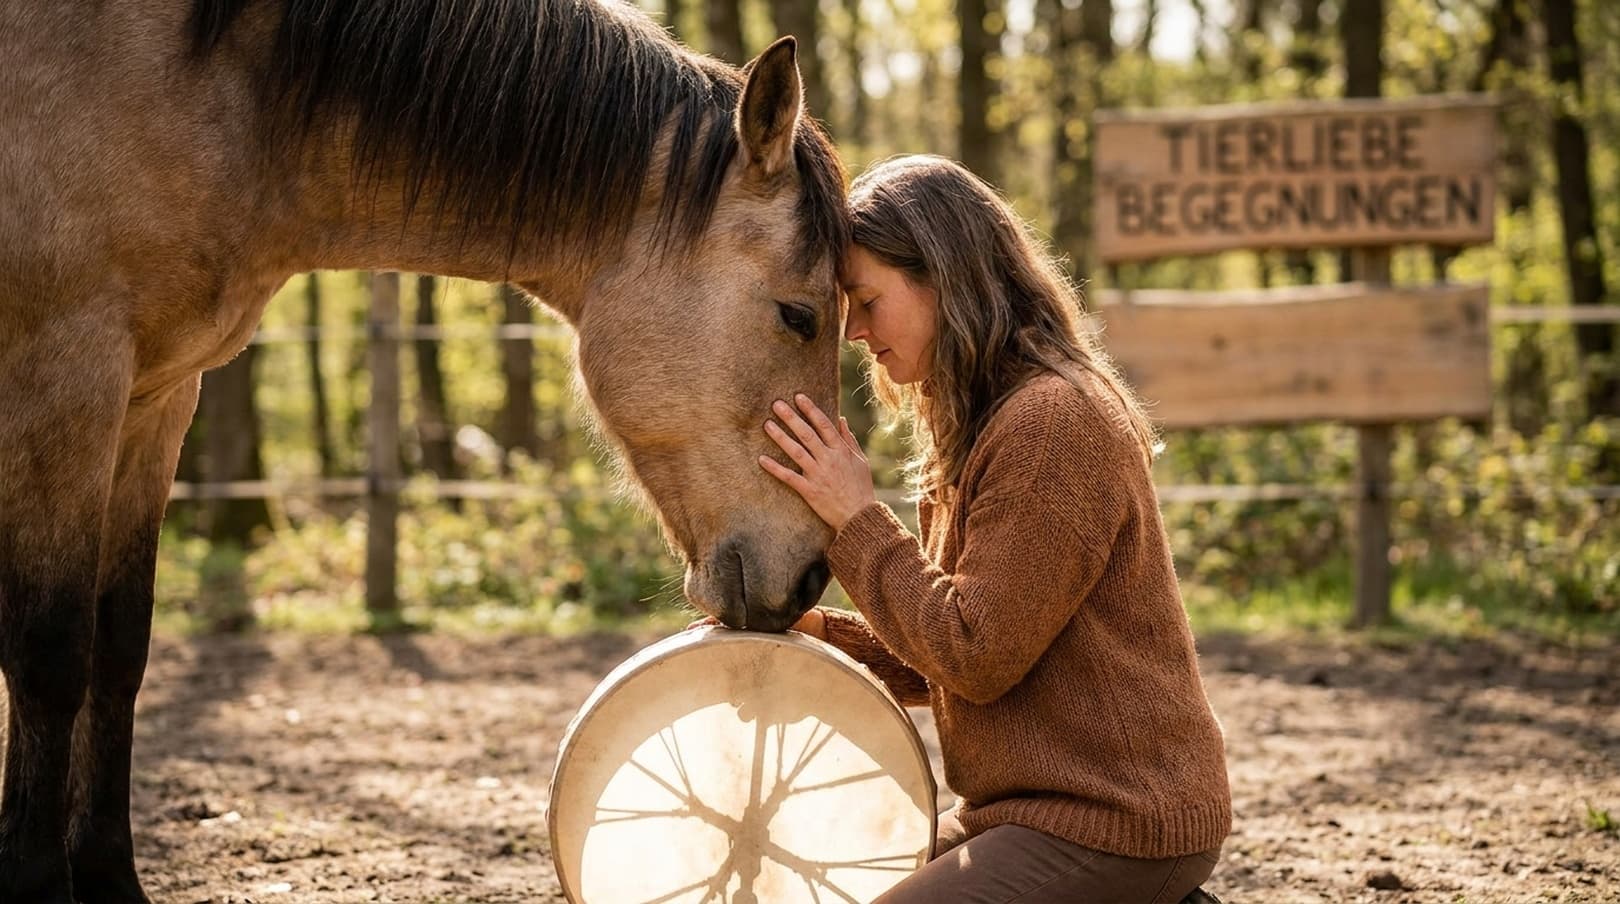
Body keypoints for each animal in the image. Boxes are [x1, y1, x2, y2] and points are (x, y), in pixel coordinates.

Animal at [0, 0, 850, 898]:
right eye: (798, 315)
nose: (809, 577)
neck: (225, 89)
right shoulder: (66, 374)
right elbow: (51, 654)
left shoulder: (155, 403)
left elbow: (118, 651)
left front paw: (106, 877)